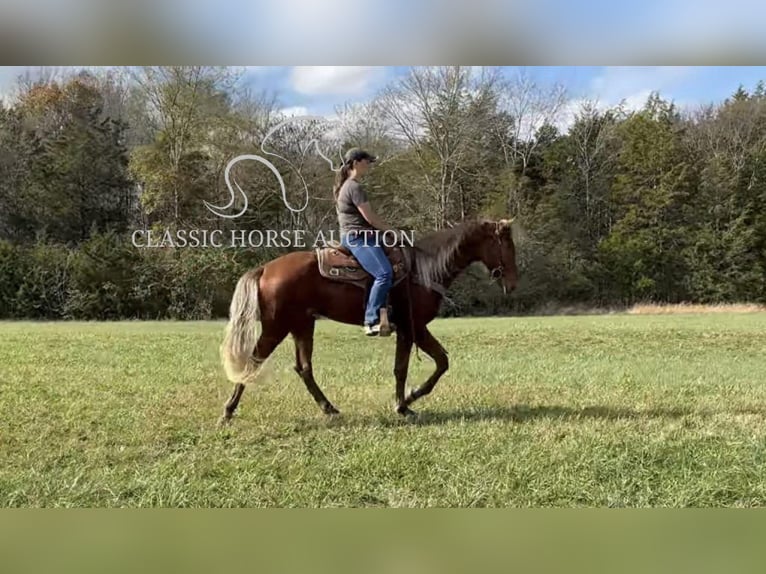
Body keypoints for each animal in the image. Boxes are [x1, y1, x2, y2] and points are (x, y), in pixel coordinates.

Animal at [219, 216, 520, 424]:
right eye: (506, 245)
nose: (512, 283)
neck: (423, 271)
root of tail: (265, 268)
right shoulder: (412, 328)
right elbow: (405, 368)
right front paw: (405, 403)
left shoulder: (415, 329)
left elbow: (439, 362)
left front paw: (408, 399)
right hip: (276, 327)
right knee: (253, 361)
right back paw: (228, 411)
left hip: (302, 325)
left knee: (304, 368)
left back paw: (329, 408)